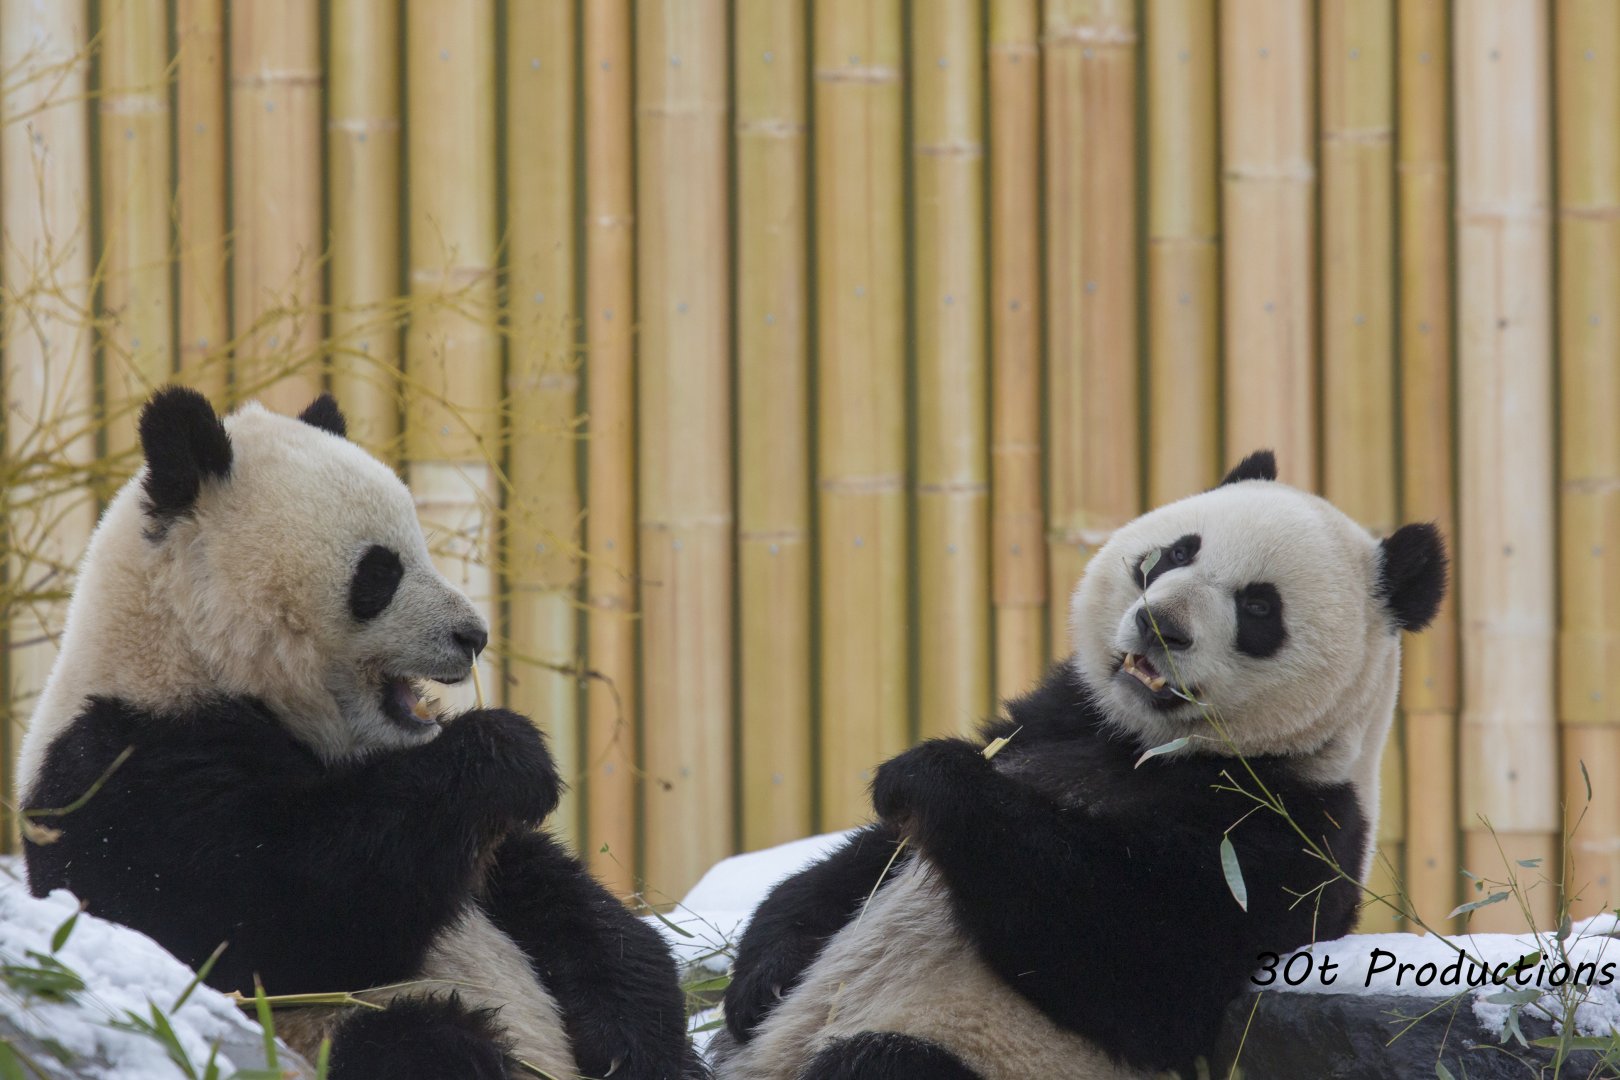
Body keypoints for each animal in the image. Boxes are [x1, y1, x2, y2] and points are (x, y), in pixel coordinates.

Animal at [15, 387, 704, 1080]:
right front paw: (511, 754)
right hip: (322, 1034)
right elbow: (270, 916)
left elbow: (565, 905)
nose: (473, 636)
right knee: (415, 1041)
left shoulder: (472, 845)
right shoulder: (127, 769)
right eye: (380, 572)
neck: (187, 658)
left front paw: (636, 1037)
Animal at [711, 451, 1449, 1080]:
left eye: (1259, 606)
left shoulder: (1286, 834)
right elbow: (862, 865)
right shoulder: (1056, 716)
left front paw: (928, 776)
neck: (1150, 747)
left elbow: (1135, 963)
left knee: (882, 1061)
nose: (1161, 626)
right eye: (1177, 552)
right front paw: (758, 978)